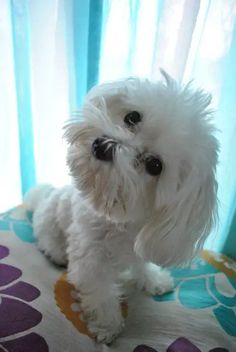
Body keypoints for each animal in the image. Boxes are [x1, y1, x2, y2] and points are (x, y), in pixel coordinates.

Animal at [24, 71, 218, 344]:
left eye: (154, 165)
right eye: (132, 117)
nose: (105, 145)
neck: (119, 221)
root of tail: (44, 196)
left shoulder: (141, 246)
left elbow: (141, 264)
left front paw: (154, 279)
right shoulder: (91, 258)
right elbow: (101, 293)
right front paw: (107, 325)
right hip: (50, 219)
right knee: (45, 235)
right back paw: (56, 251)